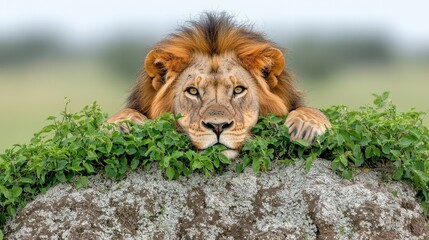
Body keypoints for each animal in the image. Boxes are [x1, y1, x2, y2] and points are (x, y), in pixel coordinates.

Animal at [107, 13, 332, 159]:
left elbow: (311, 110)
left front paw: (305, 126)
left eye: (238, 90)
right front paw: (121, 125)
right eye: (193, 91)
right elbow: (123, 114)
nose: (217, 127)